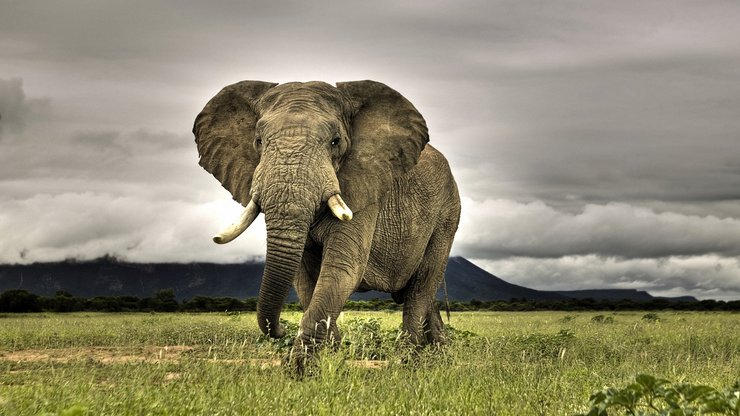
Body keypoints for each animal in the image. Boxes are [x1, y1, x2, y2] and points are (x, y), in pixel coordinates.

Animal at [192, 79, 456, 364]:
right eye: (258, 141)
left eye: (335, 141)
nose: (280, 329)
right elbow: (305, 277)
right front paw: (332, 355)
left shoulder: (365, 187)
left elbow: (342, 267)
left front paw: (301, 368)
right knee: (420, 293)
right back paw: (438, 354)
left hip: (447, 215)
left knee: (422, 286)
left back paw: (408, 360)